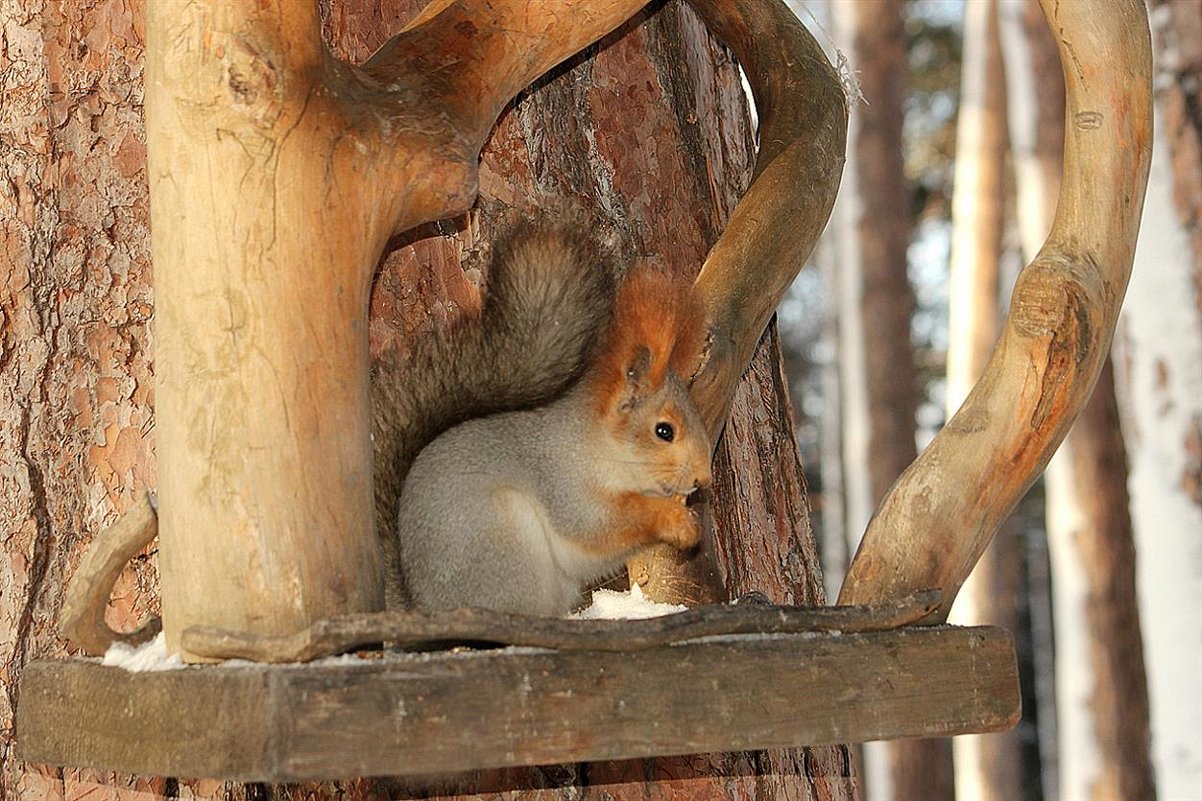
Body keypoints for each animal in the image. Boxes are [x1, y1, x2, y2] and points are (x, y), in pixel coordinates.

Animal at [372, 221, 711, 613]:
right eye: (664, 431)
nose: (703, 479)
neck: (598, 446)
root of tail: (422, 607)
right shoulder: (561, 481)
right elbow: (597, 526)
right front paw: (675, 519)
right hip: (504, 543)